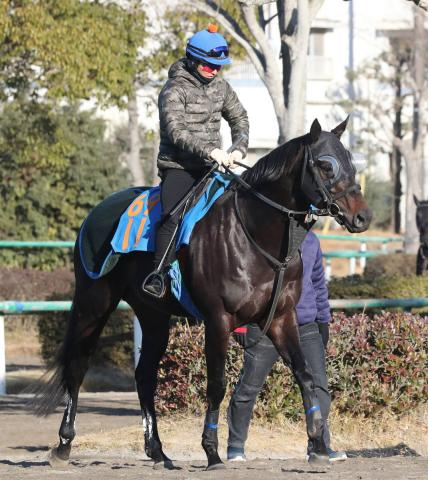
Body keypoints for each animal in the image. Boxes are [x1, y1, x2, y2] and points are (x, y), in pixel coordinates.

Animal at [33, 118, 372, 470]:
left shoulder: (281, 318)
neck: (253, 234)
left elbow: (305, 375)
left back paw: (158, 451)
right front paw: (211, 451)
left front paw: (318, 443)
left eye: (351, 160)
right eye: (326, 165)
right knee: (77, 365)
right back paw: (63, 445)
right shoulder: (218, 319)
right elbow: (217, 385)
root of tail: (94, 214)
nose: (363, 217)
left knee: (144, 375)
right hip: (94, 303)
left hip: (153, 315)